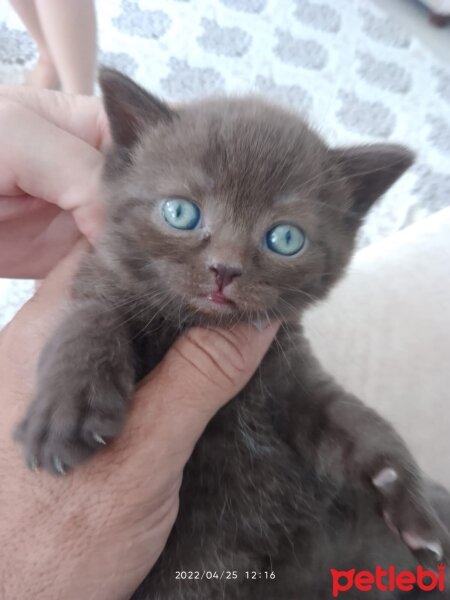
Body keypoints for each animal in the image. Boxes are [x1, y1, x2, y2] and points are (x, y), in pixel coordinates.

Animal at [15, 70, 448, 600]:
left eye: (285, 238)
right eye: (180, 213)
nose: (224, 269)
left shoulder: (295, 378)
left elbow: (358, 421)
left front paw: (407, 500)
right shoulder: (102, 281)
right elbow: (90, 319)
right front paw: (68, 408)